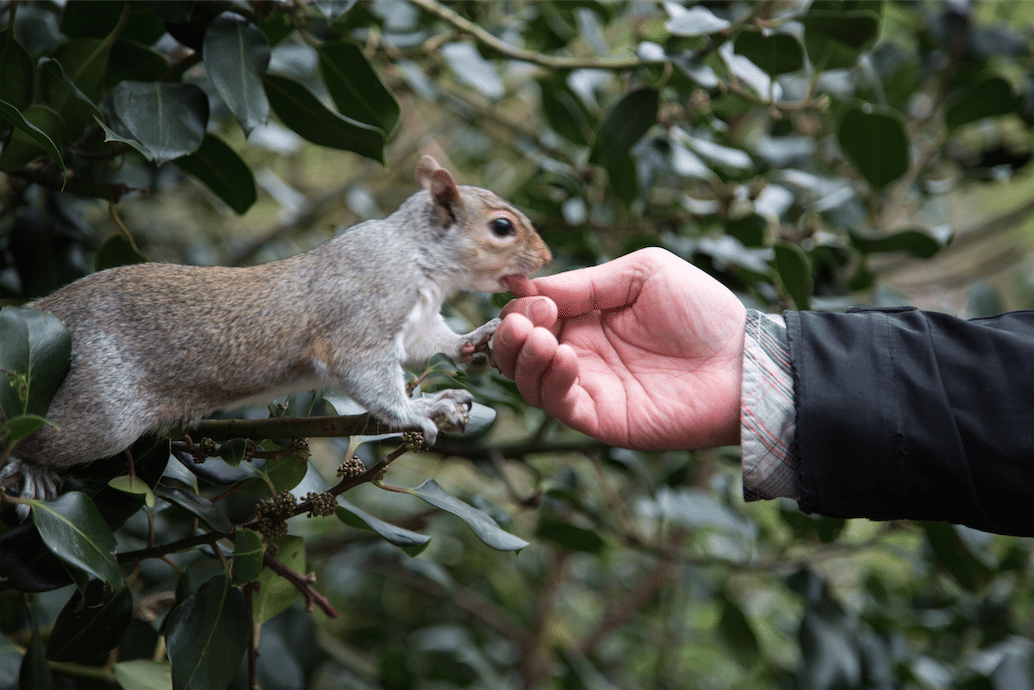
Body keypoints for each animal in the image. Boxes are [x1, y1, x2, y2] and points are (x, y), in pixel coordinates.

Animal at [2, 158, 550, 506]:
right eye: (502, 227)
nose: (545, 259)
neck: (417, 256)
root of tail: (50, 311)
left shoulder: (415, 322)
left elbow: (428, 345)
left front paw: (473, 341)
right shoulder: (362, 310)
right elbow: (367, 373)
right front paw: (422, 409)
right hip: (99, 407)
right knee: (48, 436)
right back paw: (31, 468)